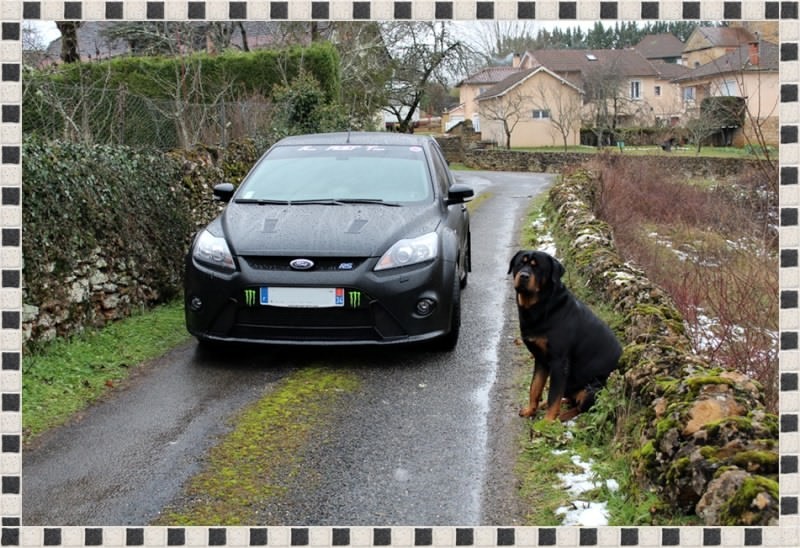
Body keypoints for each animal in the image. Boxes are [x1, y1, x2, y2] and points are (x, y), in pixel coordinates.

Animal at [510, 250, 620, 422]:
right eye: (521, 263)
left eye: (538, 267)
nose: (524, 276)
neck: (541, 306)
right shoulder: (541, 359)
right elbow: (535, 388)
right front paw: (530, 410)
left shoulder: (559, 362)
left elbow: (553, 396)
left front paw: (547, 422)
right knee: (569, 399)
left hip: (593, 388)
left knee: (581, 408)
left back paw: (561, 417)